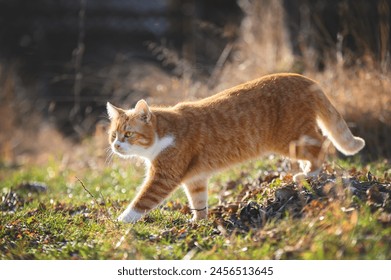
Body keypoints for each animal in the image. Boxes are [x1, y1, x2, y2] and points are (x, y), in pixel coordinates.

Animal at [105, 72, 366, 223]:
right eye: (113, 135)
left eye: (128, 134)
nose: (116, 145)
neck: (163, 135)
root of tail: (303, 77)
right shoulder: (195, 179)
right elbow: (199, 202)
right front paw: (199, 223)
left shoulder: (164, 177)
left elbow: (142, 200)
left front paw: (121, 221)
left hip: (291, 138)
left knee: (322, 146)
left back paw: (309, 174)